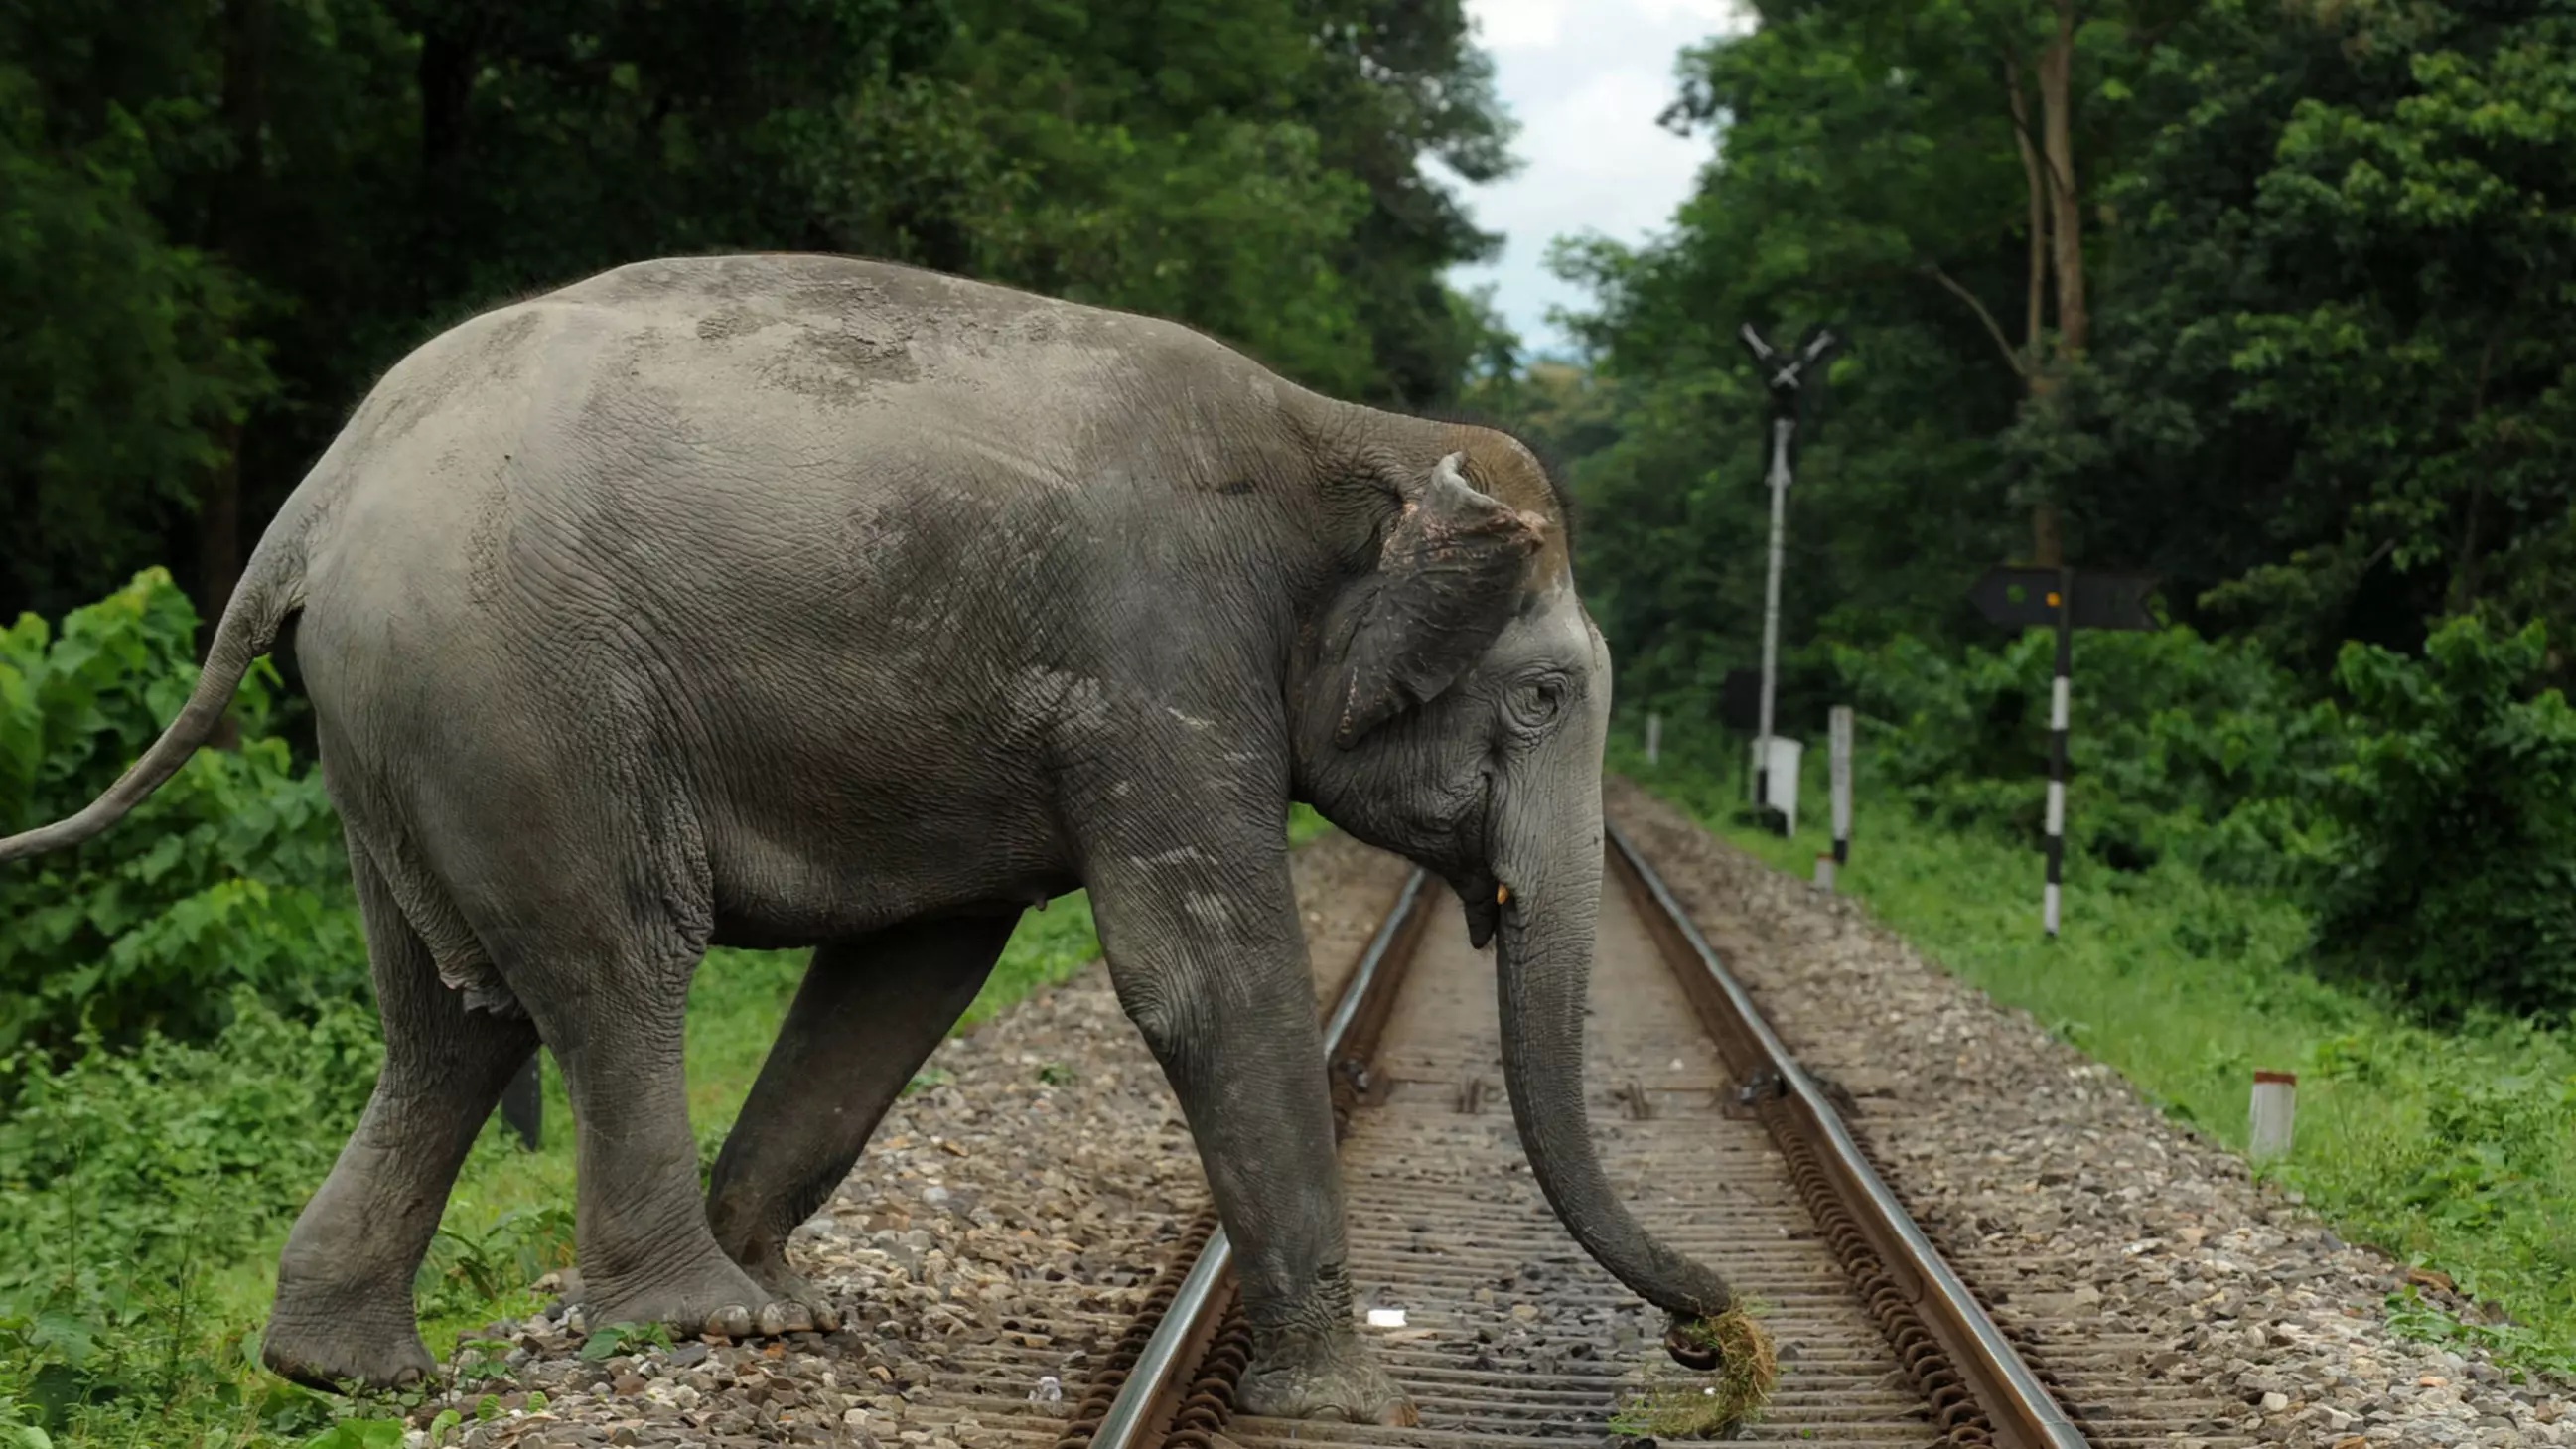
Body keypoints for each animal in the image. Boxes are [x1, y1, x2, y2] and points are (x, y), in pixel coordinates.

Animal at [0, 253, 1735, 1422]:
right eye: (1537, 699)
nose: (1713, 1336)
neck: (1344, 435)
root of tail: (316, 498)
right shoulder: (1156, 660)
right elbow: (1200, 973)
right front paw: (1340, 1395)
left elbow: (911, 969)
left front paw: (791, 1271)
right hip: (520, 693)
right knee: (614, 966)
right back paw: (699, 1322)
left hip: (401, 720)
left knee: (450, 1018)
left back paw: (350, 1364)